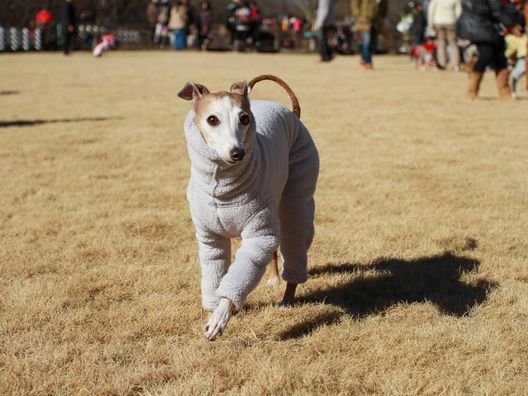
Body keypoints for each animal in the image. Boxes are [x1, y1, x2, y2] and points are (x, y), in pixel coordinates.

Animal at [178, 75, 318, 340]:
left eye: (244, 118)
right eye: (212, 119)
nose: (238, 153)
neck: (222, 188)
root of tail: (291, 113)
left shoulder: (257, 235)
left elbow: (239, 276)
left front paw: (219, 318)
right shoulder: (211, 239)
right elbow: (215, 273)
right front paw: (213, 310)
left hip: (295, 196)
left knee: (293, 239)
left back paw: (287, 298)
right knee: (274, 247)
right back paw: (273, 278)